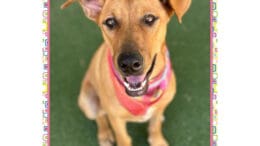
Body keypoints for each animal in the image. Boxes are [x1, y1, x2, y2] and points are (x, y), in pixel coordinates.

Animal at [61, 0, 191, 145]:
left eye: (149, 19)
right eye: (110, 22)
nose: (129, 64)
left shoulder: (160, 107)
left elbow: (155, 125)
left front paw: (157, 140)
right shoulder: (116, 119)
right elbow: (123, 138)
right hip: (88, 101)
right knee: (100, 116)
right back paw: (104, 135)